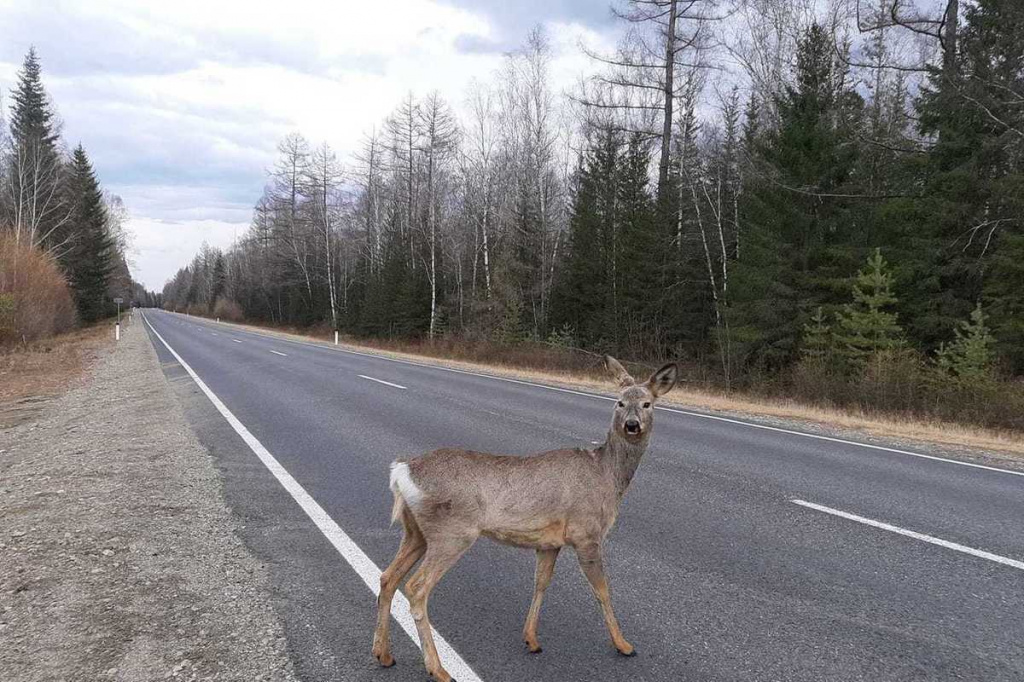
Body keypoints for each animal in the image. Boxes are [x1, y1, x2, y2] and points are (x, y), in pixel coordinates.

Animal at [372, 352, 675, 675]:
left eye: (647, 403)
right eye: (619, 402)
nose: (632, 425)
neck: (607, 475)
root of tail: (402, 471)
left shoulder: (550, 542)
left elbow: (540, 583)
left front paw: (531, 639)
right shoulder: (586, 532)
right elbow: (602, 589)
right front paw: (624, 645)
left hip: (415, 531)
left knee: (388, 577)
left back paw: (384, 654)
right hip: (452, 532)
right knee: (416, 587)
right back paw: (438, 670)